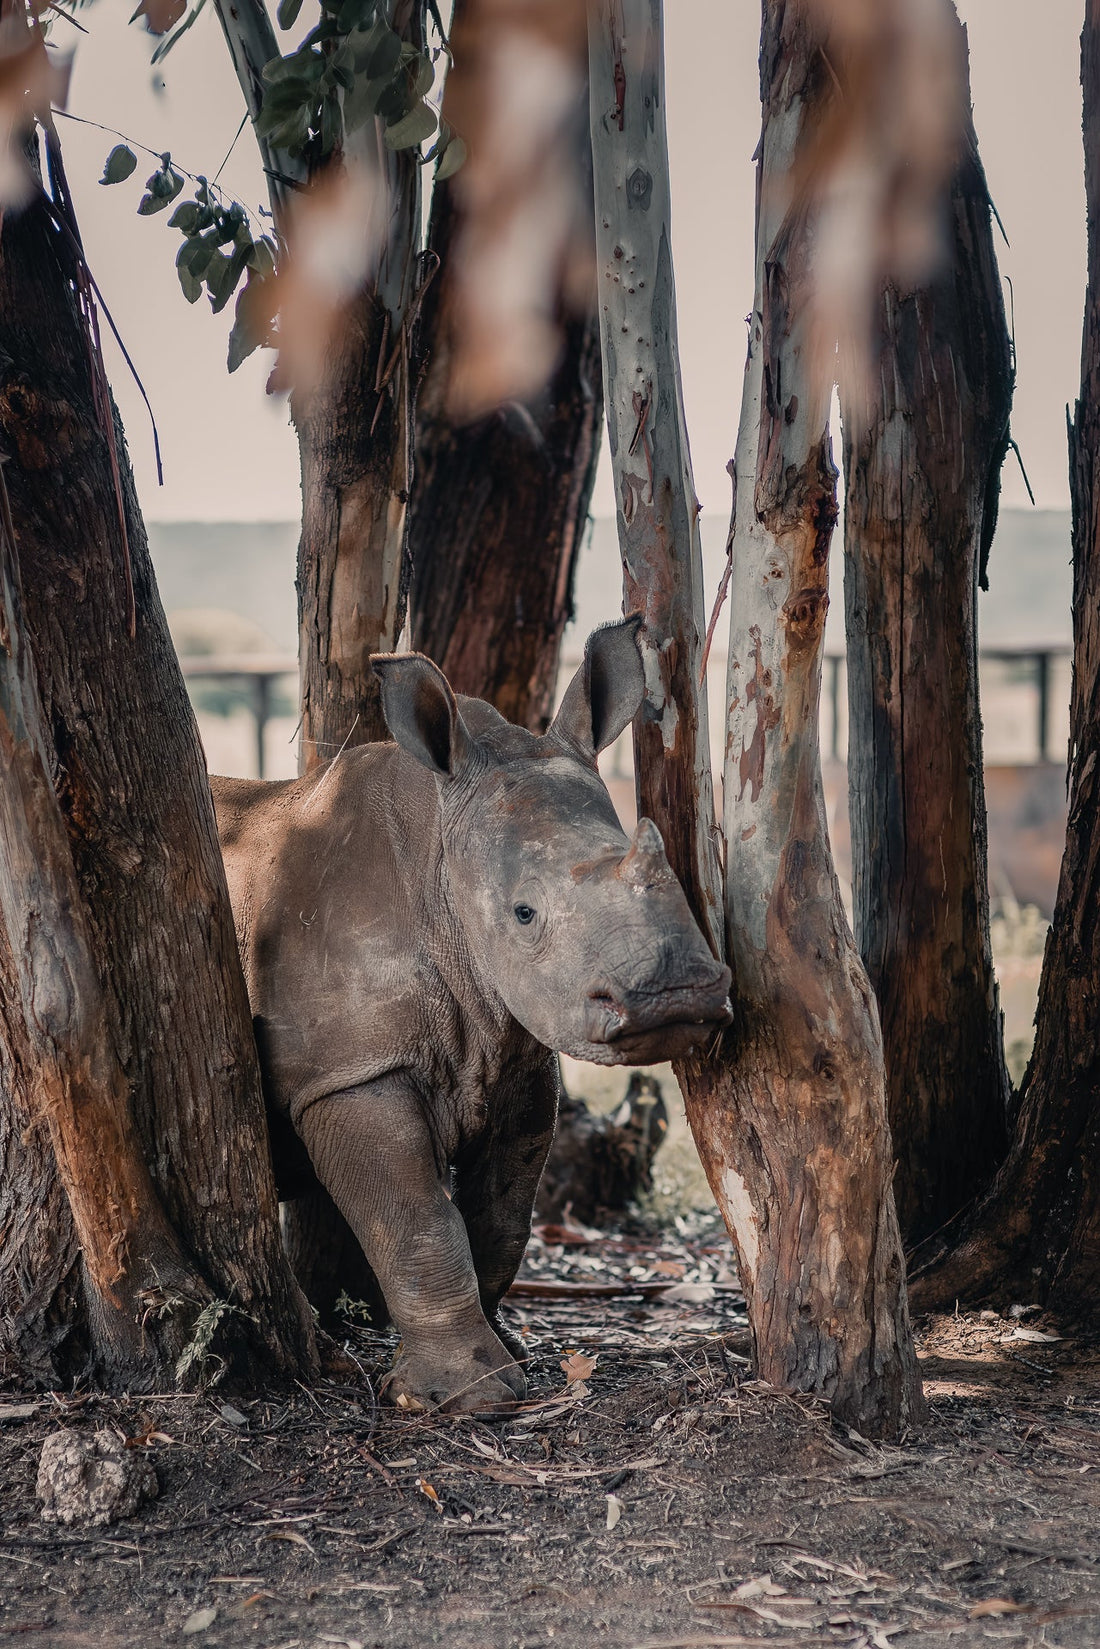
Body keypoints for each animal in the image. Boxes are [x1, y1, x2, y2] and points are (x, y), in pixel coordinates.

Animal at [212, 618, 731, 1412]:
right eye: (523, 914)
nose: (678, 999)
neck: (439, 865)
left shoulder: (515, 1047)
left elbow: (501, 1214)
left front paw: (508, 1356)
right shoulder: (351, 1072)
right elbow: (417, 1220)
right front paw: (467, 1396)